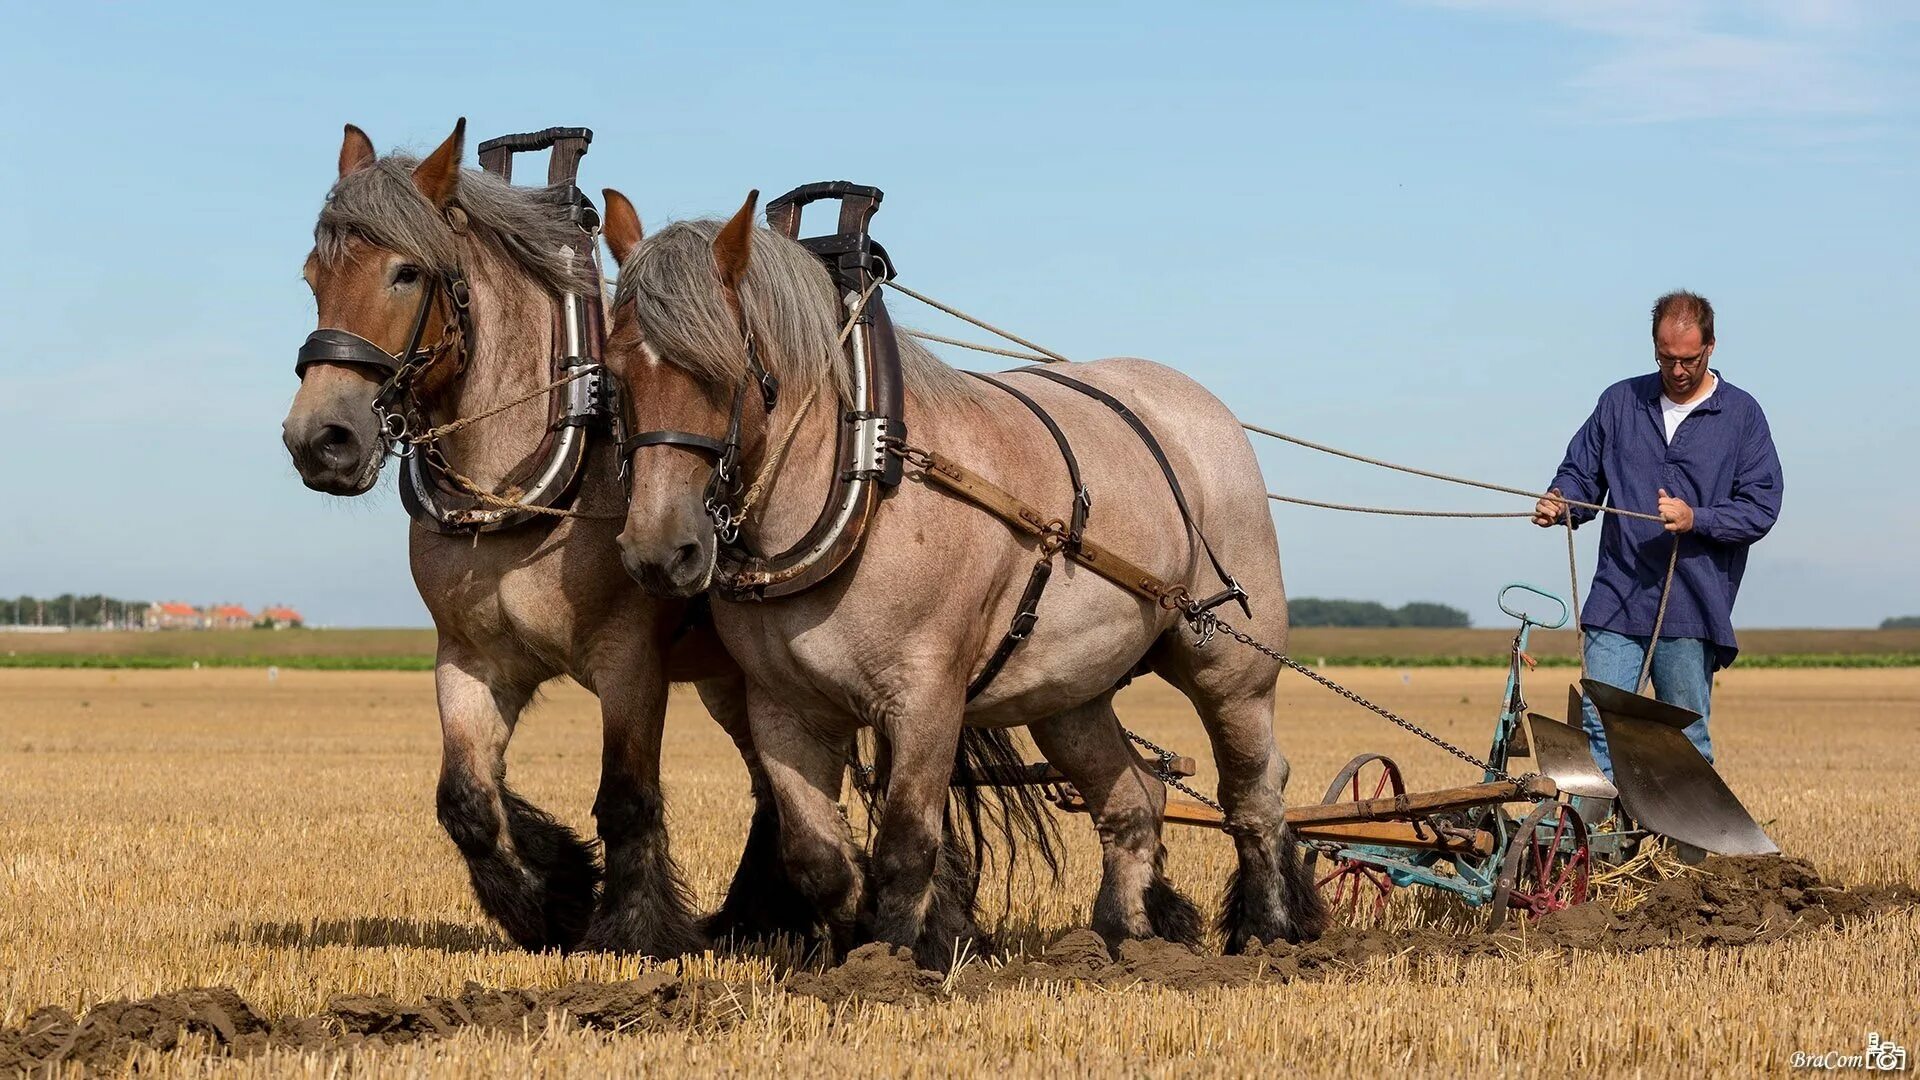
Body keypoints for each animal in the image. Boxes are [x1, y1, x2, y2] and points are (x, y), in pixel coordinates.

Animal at [278, 122, 802, 953]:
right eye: (312, 276)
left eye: (405, 272)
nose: (319, 439)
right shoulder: (470, 658)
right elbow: (465, 798)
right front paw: (550, 896)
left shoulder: (630, 662)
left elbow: (626, 796)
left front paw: (630, 927)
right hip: (730, 681)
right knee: (768, 784)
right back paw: (754, 917)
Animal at [606, 187, 1328, 957]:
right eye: (616, 373)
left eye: (718, 372)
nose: (659, 550)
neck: (864, 474)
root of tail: (1202, 407)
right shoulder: (782, 707)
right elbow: (818, 857)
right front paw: (844, 951)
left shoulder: (925, 699)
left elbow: (905, 846)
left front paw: (888, 958)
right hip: (1069, 694)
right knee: (1135, 801)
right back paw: (1121, 943)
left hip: (1230, 667)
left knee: (1254, 795)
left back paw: (1268, 934)